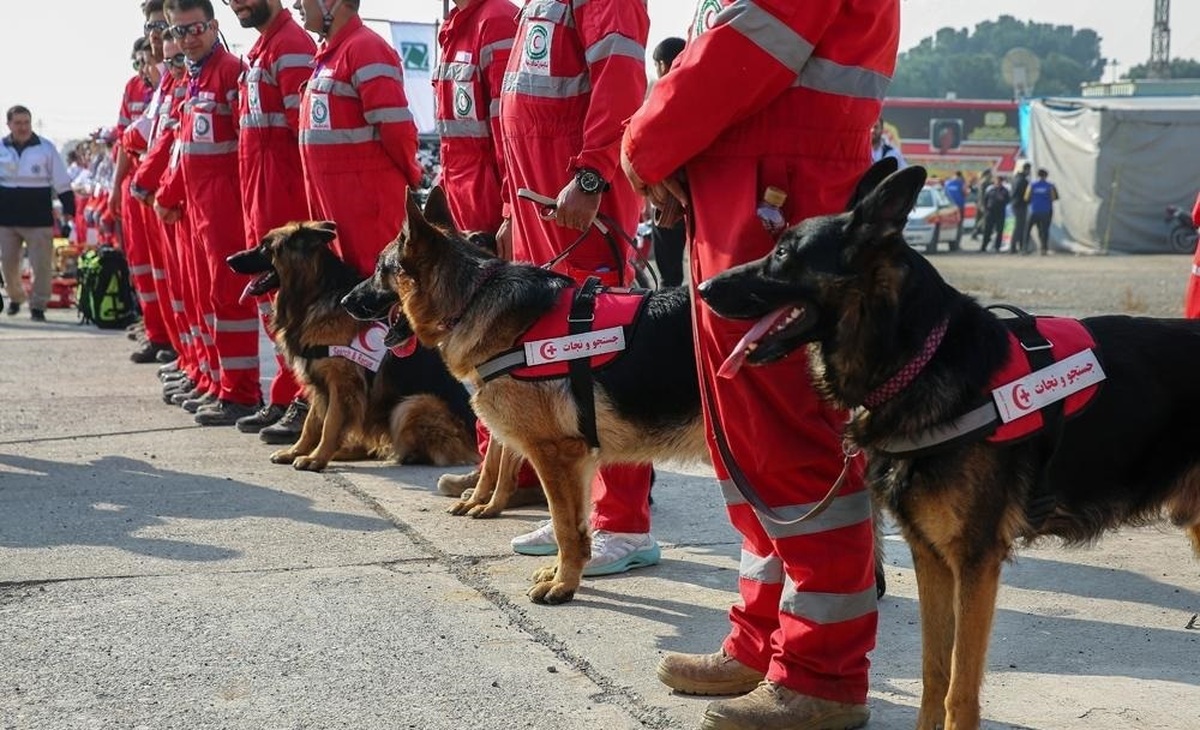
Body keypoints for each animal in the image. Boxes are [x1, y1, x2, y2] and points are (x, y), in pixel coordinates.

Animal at [226, 220, 480, 473]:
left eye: (265, 247)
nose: (228, 260)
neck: (316, 295)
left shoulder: (342, 385)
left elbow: (329, 424)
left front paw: (315, 458)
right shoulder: (320, 386)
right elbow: (312, 423)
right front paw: (297, 451)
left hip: (413, 404)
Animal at [343, 188, 705, 605]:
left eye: (378, 268)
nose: (345, 300)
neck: (471, 298)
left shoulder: (555, 454)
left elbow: (564, 526)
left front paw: (563, 586)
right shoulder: (574, 460)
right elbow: (573, 525)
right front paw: (563, 573)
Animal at [700, 160, 1200, 730]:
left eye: (784, 253)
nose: (703, 287)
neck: (920, 358)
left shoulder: (975, 563)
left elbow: (960, 686)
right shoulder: (932, 558)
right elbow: (934, 673)